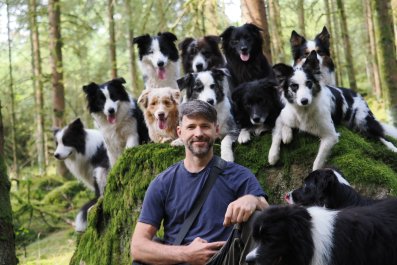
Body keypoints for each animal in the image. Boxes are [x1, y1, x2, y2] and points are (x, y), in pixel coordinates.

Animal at [266, 50, 396, 169]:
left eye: (309, 83)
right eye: (294, 86)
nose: (304, 100)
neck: (304, 111)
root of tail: (358, 94)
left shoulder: (330, 136)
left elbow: (318, 161)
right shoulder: (282, 116)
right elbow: (278, 133)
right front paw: (274, 153)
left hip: (362, 120)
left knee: (382, 136)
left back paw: (392, 148)